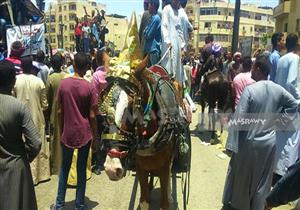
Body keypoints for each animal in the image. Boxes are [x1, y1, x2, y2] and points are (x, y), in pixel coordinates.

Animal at [98, 57, 190, 210]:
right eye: (103, 102)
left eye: (131, 106)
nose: (111, 168)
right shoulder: (141, 167)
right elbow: (144, 201)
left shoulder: (165, 167)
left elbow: (165, 202)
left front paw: (168, 197)